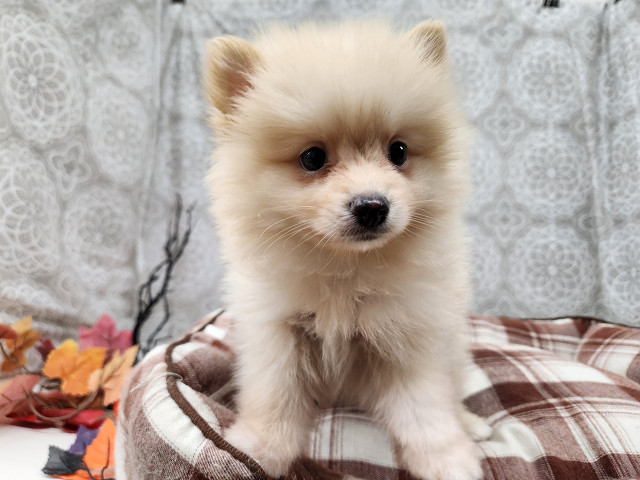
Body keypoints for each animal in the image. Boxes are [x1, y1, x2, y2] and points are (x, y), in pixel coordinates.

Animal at [204, 20, 490, 480]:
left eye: (398, 151)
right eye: (312, 158)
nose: (372, 205)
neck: (346, 271)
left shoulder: (409, 335)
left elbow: (425, 407)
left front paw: (449, 461)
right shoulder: (277, 333)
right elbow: (276, 395)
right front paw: (257, 450)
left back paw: (472, 423)